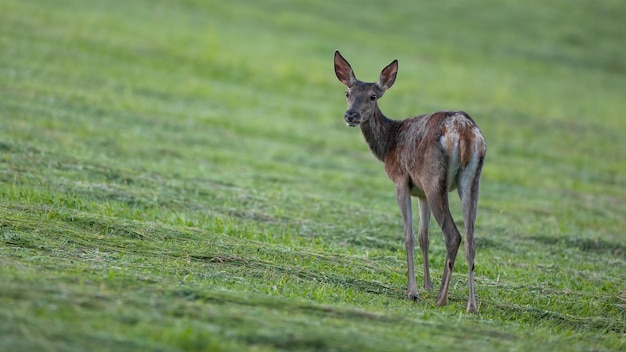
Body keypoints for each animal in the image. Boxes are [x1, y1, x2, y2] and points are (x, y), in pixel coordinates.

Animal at [334, 51, 486, 312]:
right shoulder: (420, 193)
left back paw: (442, 299)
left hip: (434, 178)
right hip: (471, 180)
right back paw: (471, 305)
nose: (351, 115)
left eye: (373, 96)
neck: (388, 144)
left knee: (453, 235)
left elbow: (409, 235)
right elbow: (424, 236)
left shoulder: (401, 180)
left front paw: (413, 291)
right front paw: (427, 285)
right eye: (348, 93)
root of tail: (465, 132)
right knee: (470, 239)